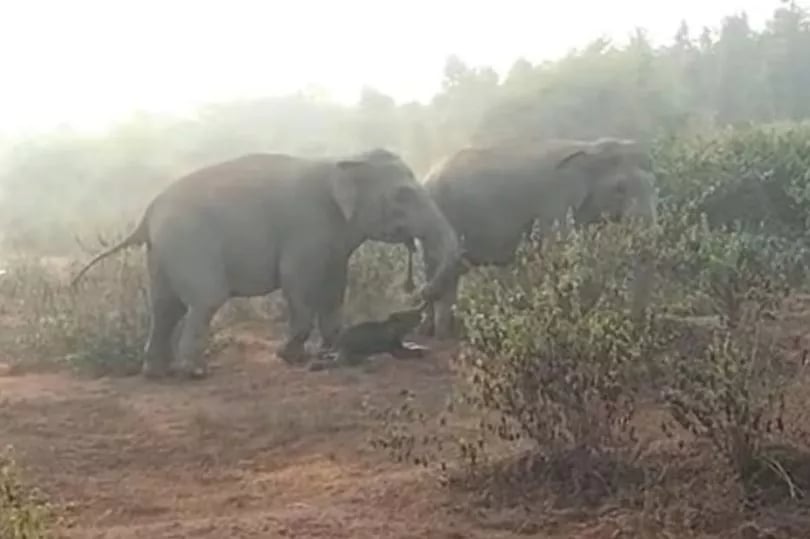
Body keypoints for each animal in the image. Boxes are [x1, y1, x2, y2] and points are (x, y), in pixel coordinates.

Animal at [71, 148, 460, 380]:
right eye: (403, 195)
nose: (417, 291)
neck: (342, 160)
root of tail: (147, 214)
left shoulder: (334, 239)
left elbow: (335, 284)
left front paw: (330, 348)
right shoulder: (306, 226)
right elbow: (297, 280)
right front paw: (290, 356)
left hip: (163, 252)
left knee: (164, 307)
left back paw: (155, 373)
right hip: (189, 244)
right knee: (204, 300)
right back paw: (194, 373)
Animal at [408, 137, 660, 340]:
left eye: (653, 184)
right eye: (620, 189)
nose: (637, 324)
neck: (589, 147)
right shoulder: (554, 203)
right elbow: (558, 253)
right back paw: (437, 334)